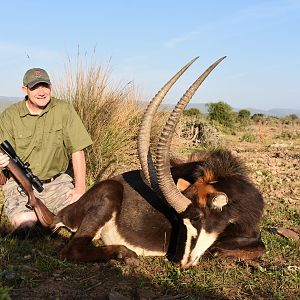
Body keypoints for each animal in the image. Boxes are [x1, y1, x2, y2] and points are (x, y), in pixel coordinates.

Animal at [51, 57, 264, 268]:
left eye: (196, 217)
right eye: (180, 220)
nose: (181, 261)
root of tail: (64, 212)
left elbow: (257, 244)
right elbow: (238, 247)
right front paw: (219, 252)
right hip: (109, 191)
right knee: (72, 250)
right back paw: (126, 254)